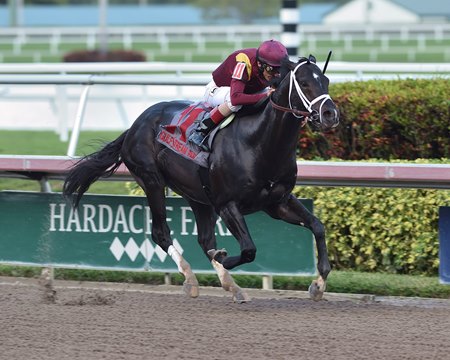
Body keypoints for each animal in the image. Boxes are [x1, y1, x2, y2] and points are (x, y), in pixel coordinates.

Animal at [62, 55, 338, 300]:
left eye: (325, 80)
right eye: (304, 83)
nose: (330, 114)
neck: (260, 143)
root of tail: (134, 125)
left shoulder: (277, 202)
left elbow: (317, 226)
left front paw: (318, 285)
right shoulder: (228, 204)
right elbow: (249, 250)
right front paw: (223, 257)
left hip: (198, 196)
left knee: (204, 239)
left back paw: (232, 286)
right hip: (152, 180)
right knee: (161, 233)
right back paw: (191, 279)